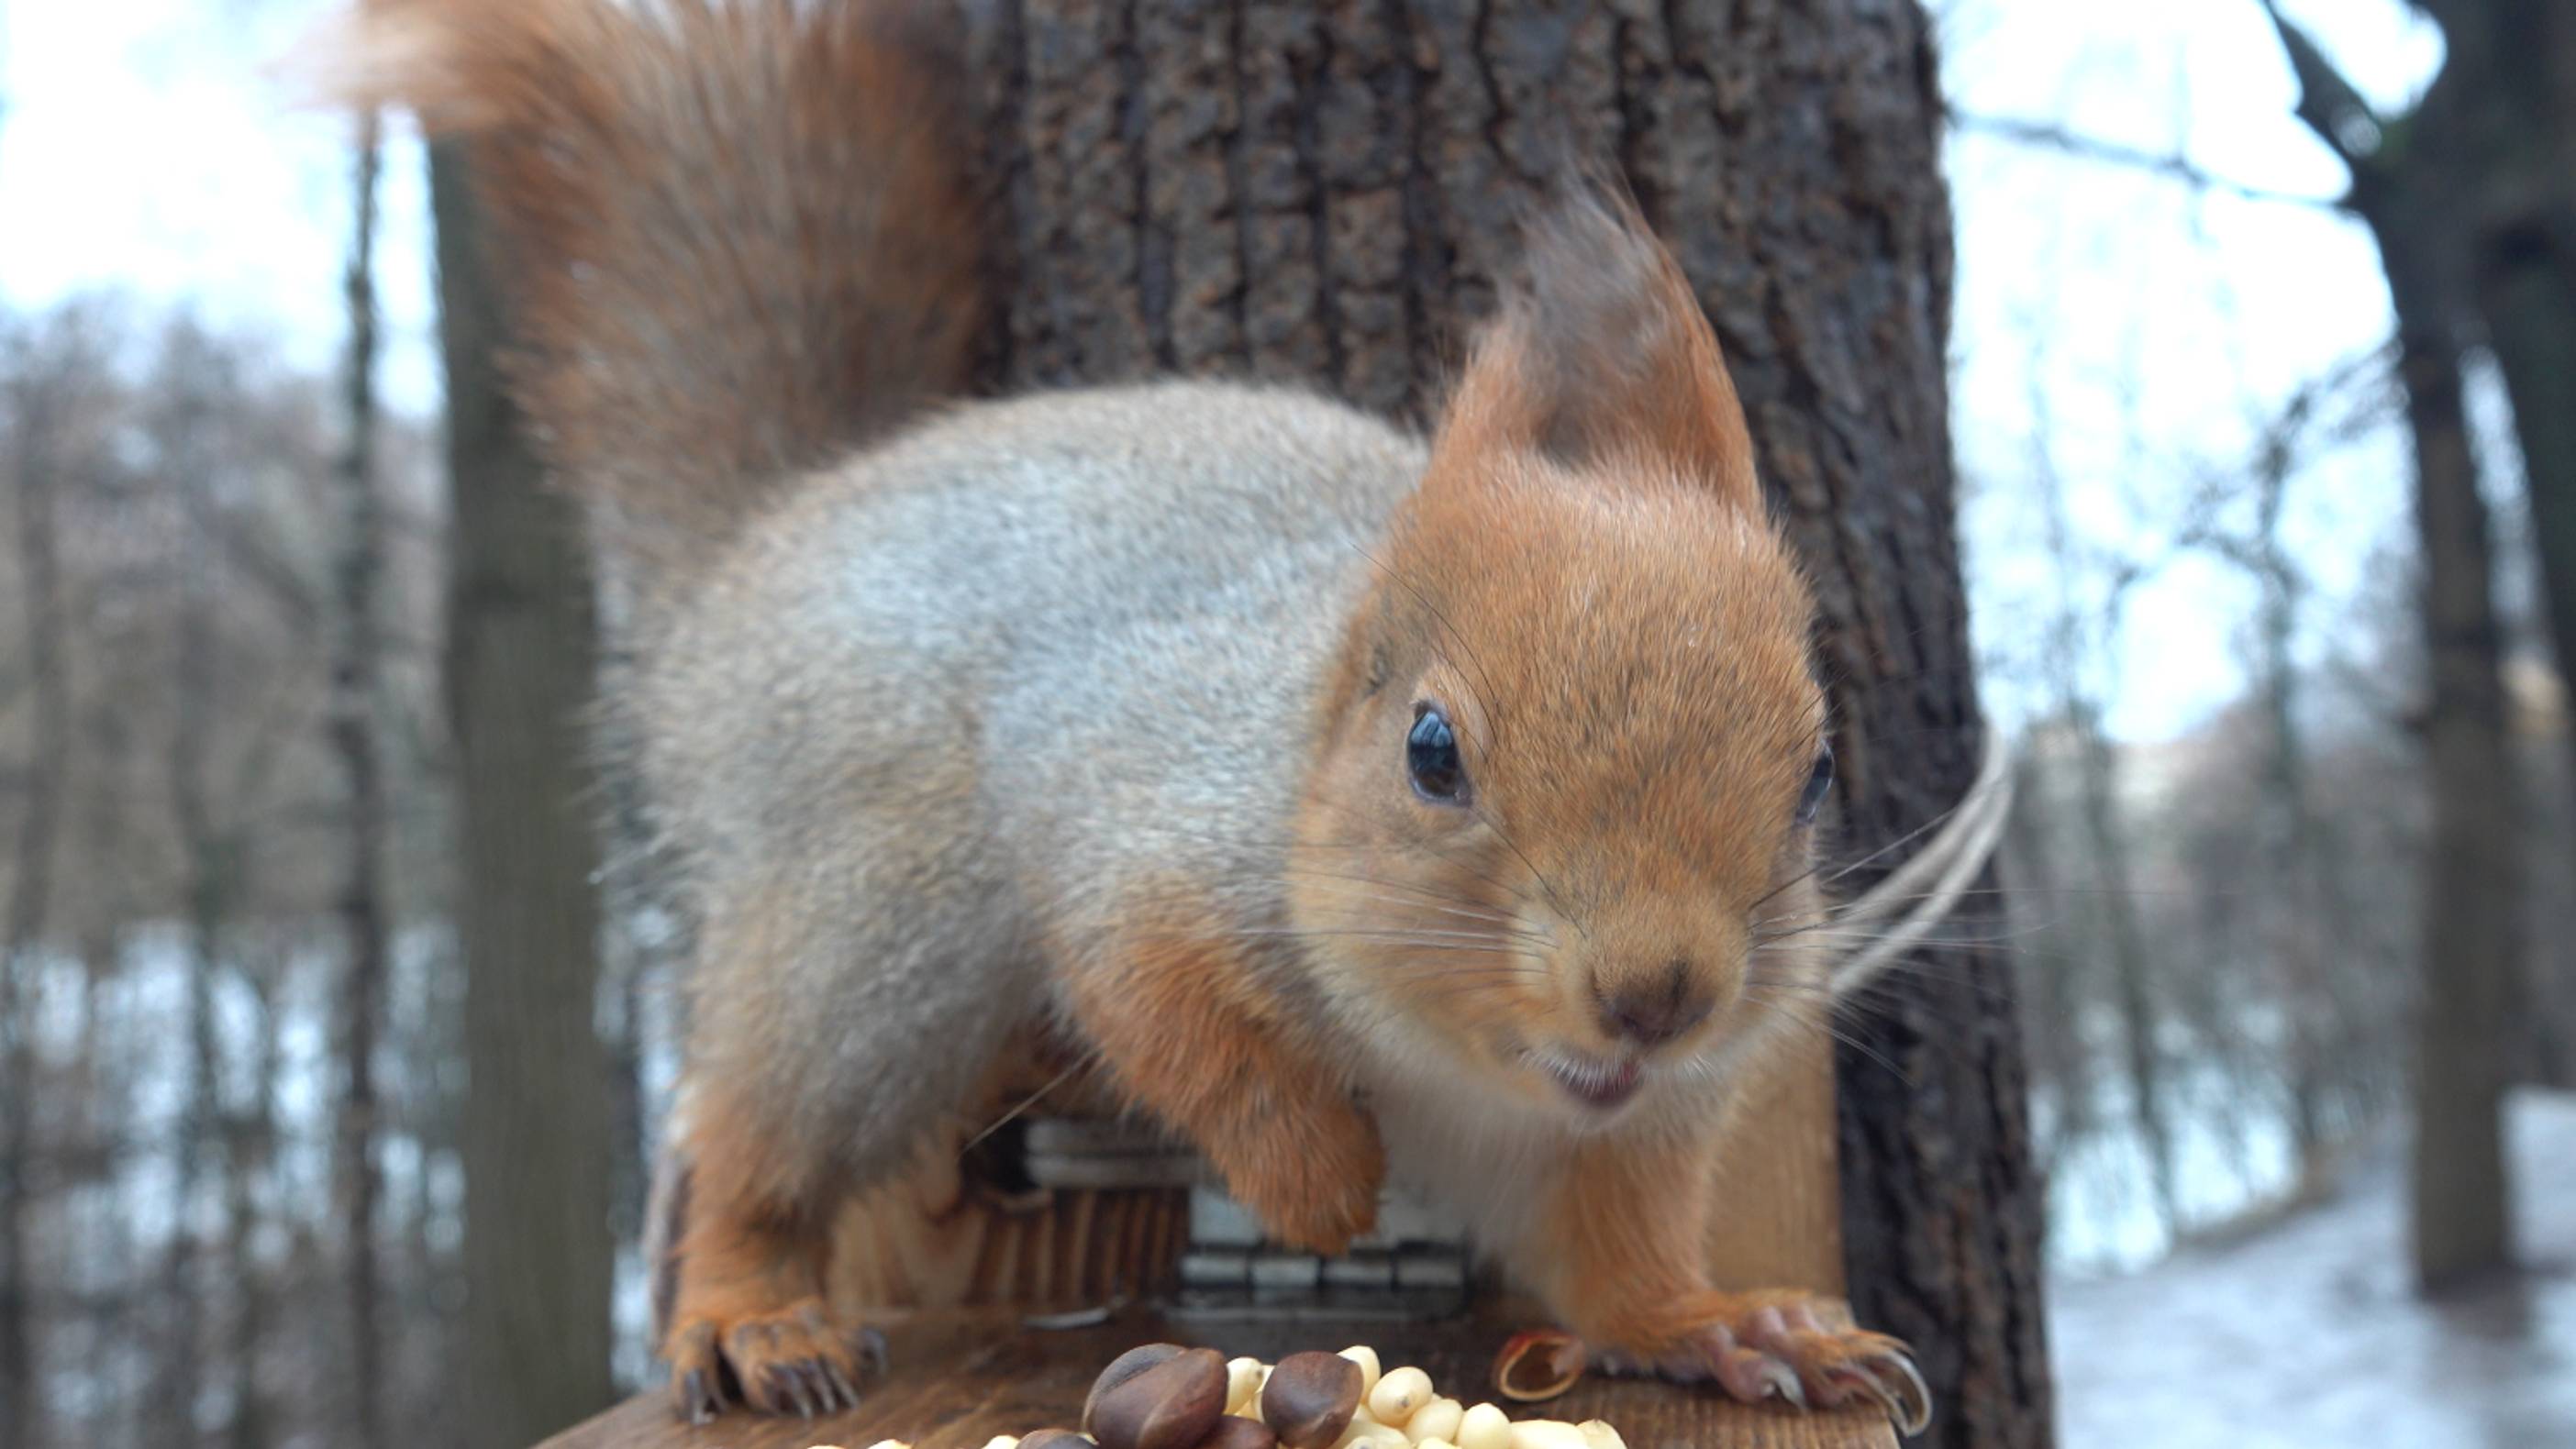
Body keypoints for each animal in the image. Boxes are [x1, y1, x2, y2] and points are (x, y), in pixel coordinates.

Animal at [353, 0, 1931, 1433]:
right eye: (1431, 754)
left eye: (1816, 772)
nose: (1658, 994)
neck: (1468, 1068)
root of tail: (752, 558)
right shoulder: (1138, 811)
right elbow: (1159, 1001)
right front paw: (1316, 1182)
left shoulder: (1624, 1129)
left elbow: (1615, 1258)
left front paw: (1721, 1325)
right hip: (870, 909)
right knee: (761, 1124)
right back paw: (752, 1309)